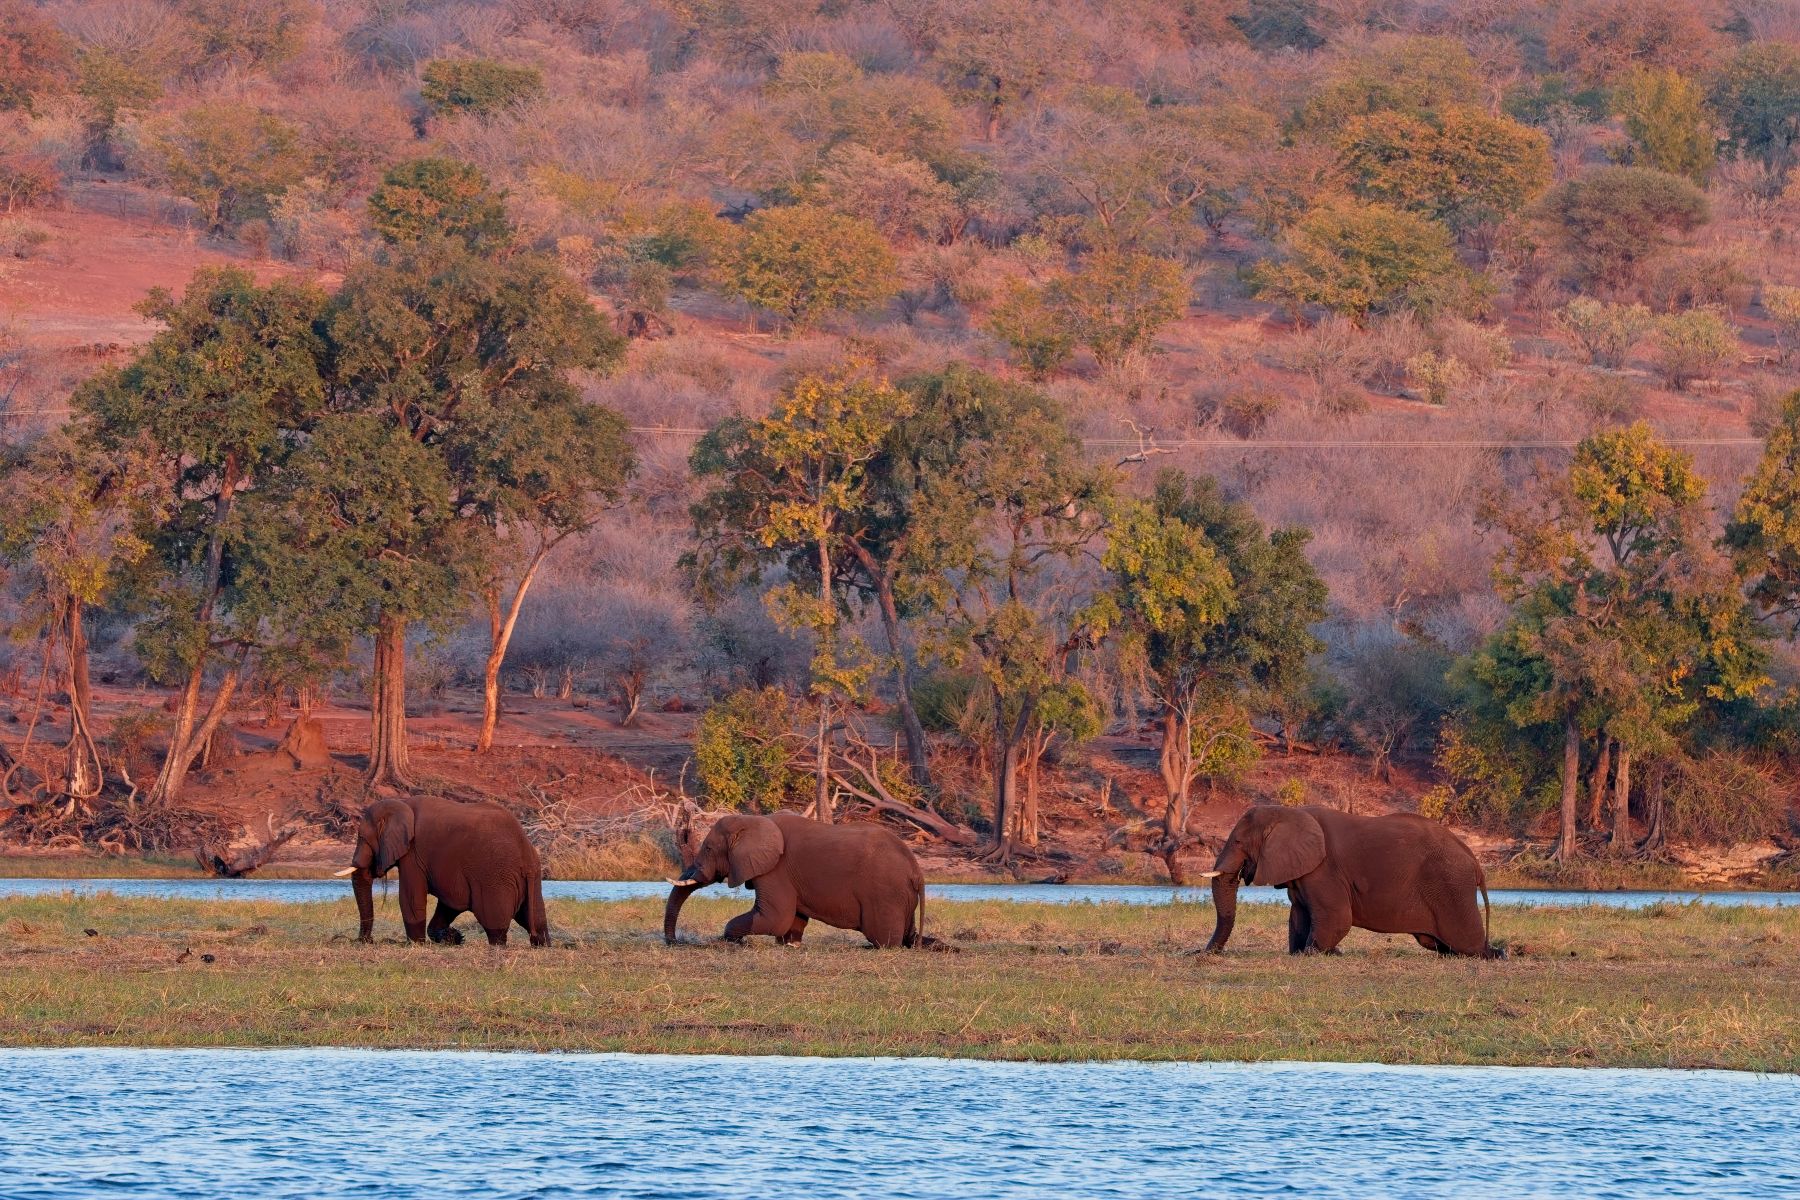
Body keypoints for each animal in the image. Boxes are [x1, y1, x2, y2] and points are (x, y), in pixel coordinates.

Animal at [336, 794, 548, 947]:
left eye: (361, 837)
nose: (366, 941)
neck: (402, 803)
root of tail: (527, 854)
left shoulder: (413, 854)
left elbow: (411, 898)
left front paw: (416, 944)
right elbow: (450, 903)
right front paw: (455, 938)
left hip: (495, 879)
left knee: (495, 927)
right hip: (530, 880)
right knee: (535, 921)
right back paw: (542, 944)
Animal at [662, 812, 925, 948]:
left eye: (707, 848)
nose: (676, 942)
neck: (753, 820)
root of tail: (917, 871)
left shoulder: (774, 870)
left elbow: (775, 918)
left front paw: (731, 940)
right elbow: (793, 918)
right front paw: (790, 944)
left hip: (885, 895)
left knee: (884, 940)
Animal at [1198, 804, 1499, 959]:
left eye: (1238, 842)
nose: (1201, 953)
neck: (1289, 811)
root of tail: (1474, 861)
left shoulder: (1324, 870)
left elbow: (1336, 917)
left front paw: (1316, 954)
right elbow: (1299, 915)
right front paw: (1306, 953)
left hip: (1452, 888)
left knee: (1466, 946)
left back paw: (1496, 954)